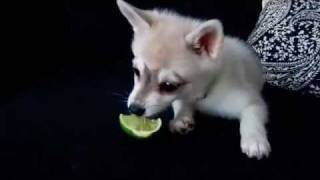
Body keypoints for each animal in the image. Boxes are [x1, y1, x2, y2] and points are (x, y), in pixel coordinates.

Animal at [116, 0, 272, 159]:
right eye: (136, 72)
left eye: (169, 86)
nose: (134, 109)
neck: (201, 93)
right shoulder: (183, 96)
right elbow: (180, 102)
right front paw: (181, 117)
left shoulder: (252, 101)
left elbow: (251, 117)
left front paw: (254, 139)